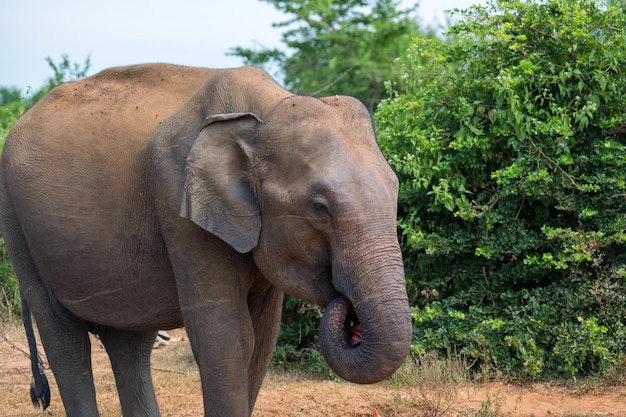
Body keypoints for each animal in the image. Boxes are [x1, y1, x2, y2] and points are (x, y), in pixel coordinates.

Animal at [0, 62, 412, 416]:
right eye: (319, 207)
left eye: (395, 188)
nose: (351, 319)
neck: (266, 108)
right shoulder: (180, 209)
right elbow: (228, 340)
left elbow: (262, 342)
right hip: (16, 224)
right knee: (65, 339)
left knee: (130, 343)